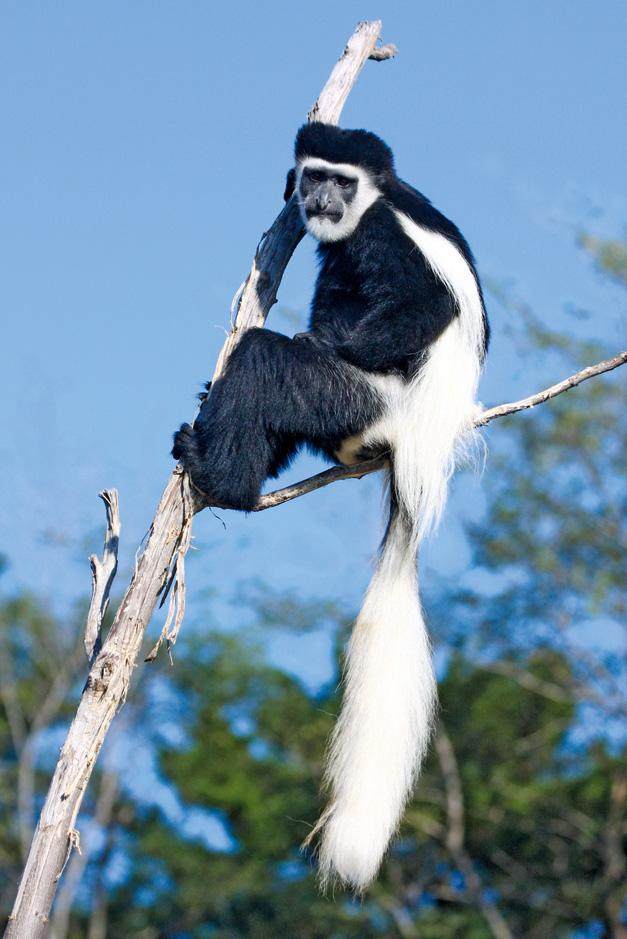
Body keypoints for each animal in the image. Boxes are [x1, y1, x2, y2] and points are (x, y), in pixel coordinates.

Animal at [173, 121, 490, 892]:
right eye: (313, 174)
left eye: (341, 182)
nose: (317, 200)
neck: (375, 200)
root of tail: (414, 447)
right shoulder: (335, 247)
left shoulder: (380, 238)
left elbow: (423, 308)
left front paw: (315, 338)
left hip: (361, 402)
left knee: (266, 359)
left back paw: (225, 478)